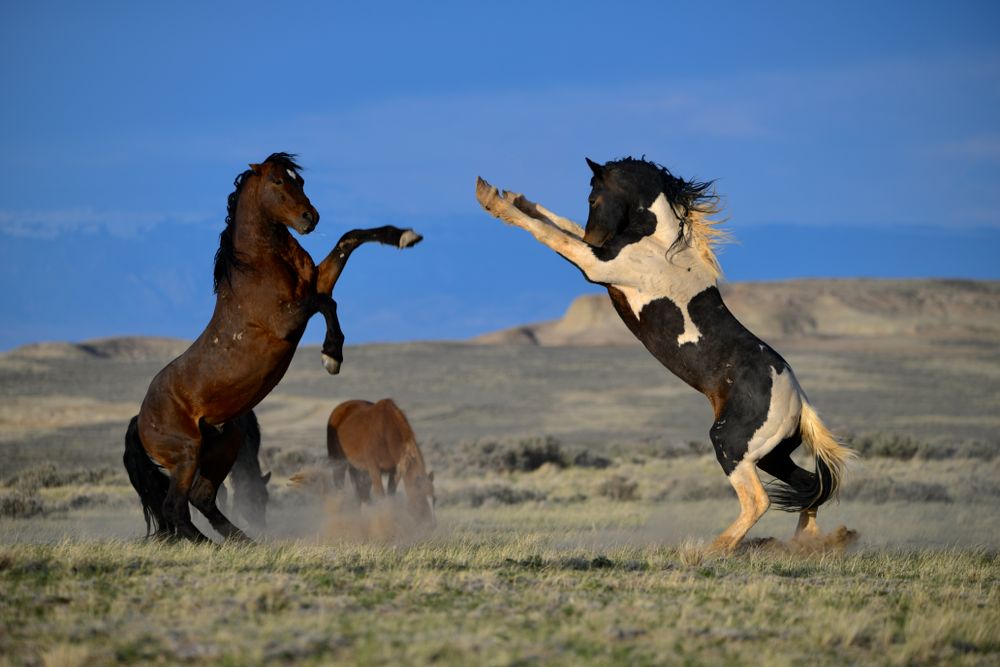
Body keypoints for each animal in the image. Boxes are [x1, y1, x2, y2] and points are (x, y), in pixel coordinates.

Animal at [123, 152, 422, 543]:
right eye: (278, 181)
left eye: (301, 181)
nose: (310, 218)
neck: (259, 266)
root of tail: (140, 418)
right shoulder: (287, 319)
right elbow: (325, 303)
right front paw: (331, 355)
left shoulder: (317, 280)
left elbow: (349, 240)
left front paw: (404, 236)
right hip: (187, 454)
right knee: (177, 506)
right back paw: (213, 545)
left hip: (223, 446)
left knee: (203, 497)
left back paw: (245, 541)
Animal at [327, 398, 436, 527]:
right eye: (420, 498)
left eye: (434, 499)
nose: (432, 526)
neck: (386, 433)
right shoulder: (374, 470)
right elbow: (381, 498)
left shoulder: (394, 472)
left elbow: (390, 498)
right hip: (339, 464)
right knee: (340, 491)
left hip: (358, 469)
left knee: (359, 495)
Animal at [475, 157, 855, 553]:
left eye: (594, 198)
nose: (596, 238)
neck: (658, 243)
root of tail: (800, 403)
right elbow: (557, 222)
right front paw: (514, 196)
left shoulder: (597, 265)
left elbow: (550, 233)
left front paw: (490, 198)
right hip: (771, 456)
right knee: (810, 487)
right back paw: (806, 543)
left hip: (731, 445)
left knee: (759, 500)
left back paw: (713, 550)